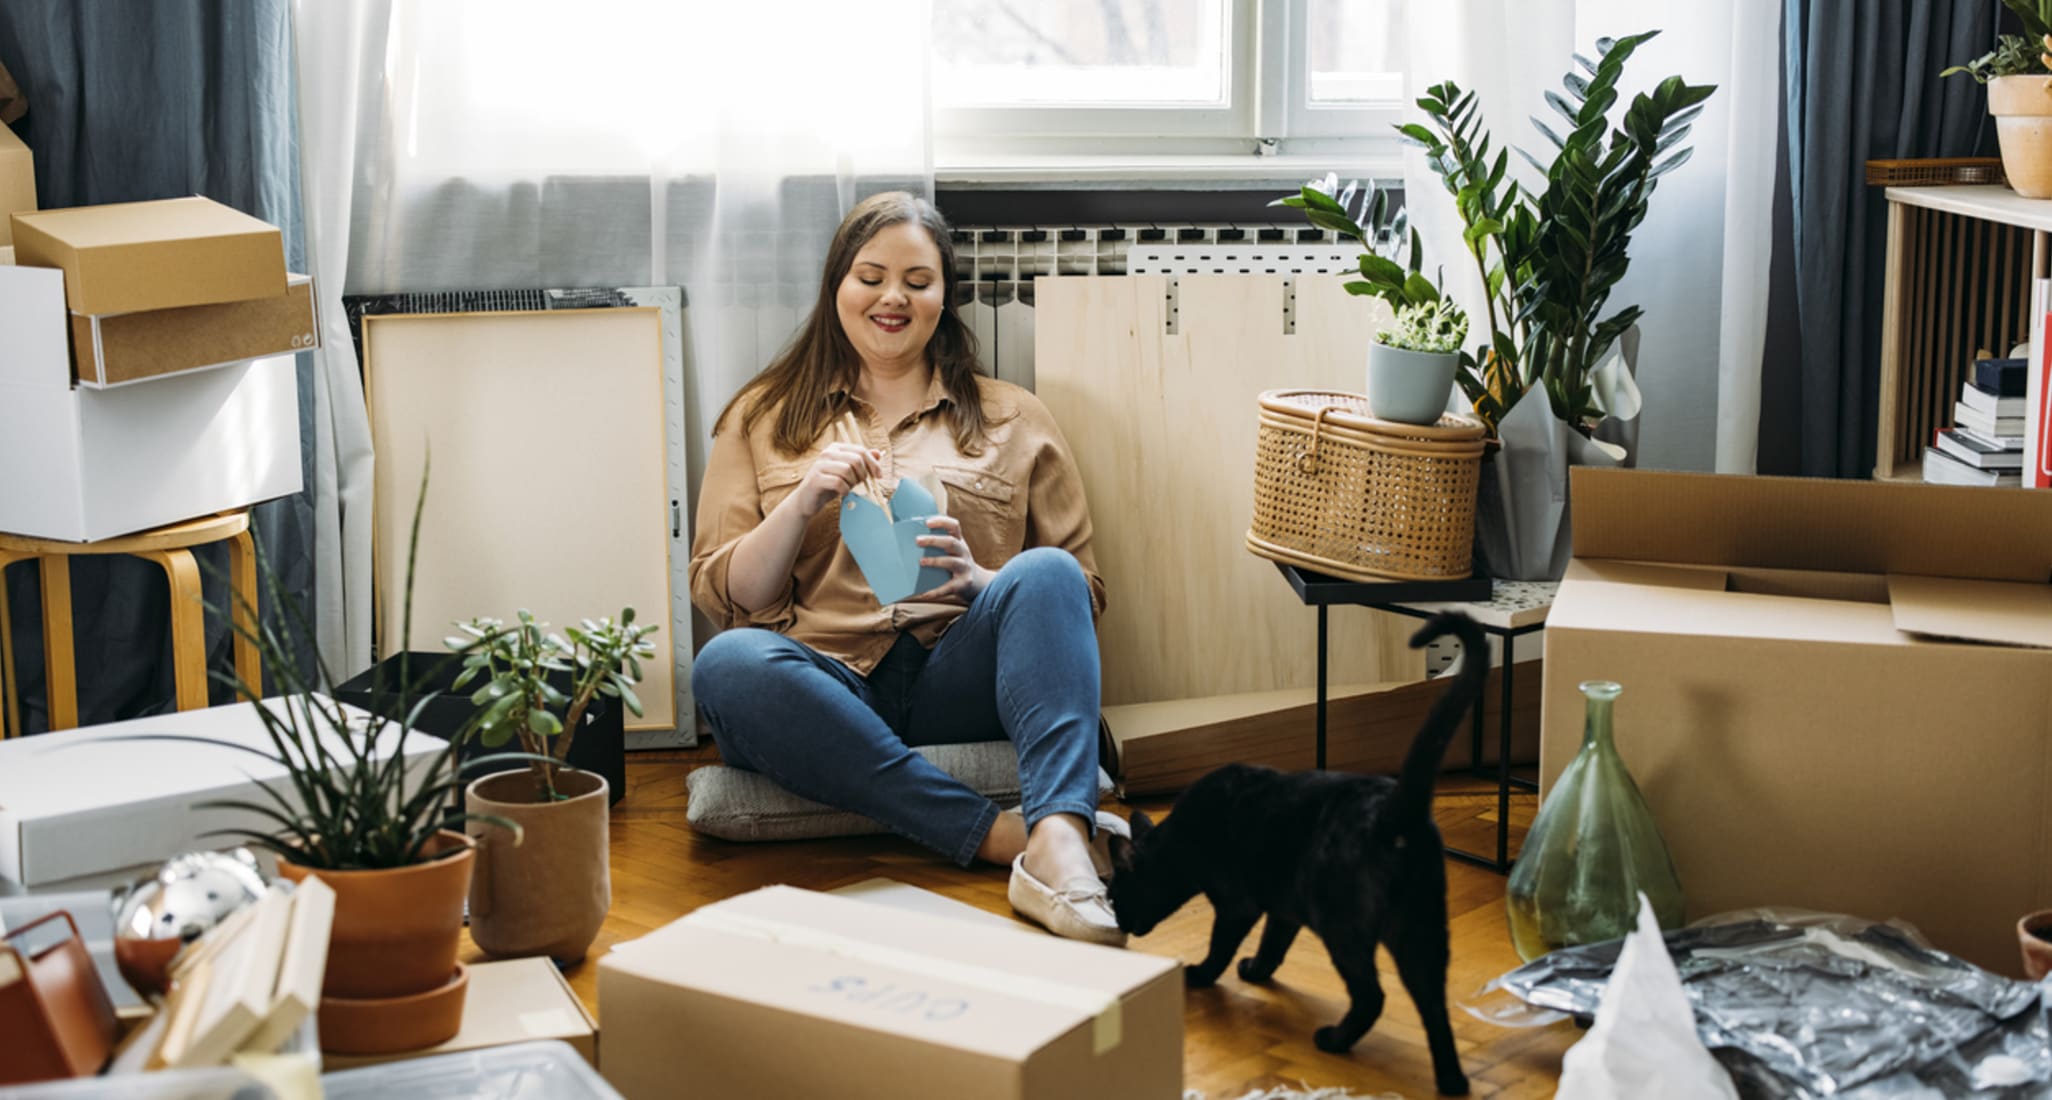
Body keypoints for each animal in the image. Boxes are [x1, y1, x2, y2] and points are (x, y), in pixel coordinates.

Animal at [1108, 611, 1493, 1091]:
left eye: (1113, 897)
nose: (1118, 923)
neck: (1182, 838)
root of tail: (1395, 811)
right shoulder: (1284, 907)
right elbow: (1273, 947)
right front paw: (1255, 972)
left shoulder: (1238, 905)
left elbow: (1220, 946)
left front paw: (1200, 975)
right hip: (1420, 933)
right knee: (1434, 1005)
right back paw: (1452, 1081)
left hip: (1344, 930)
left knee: (1373, 995)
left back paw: (1334, 1041)